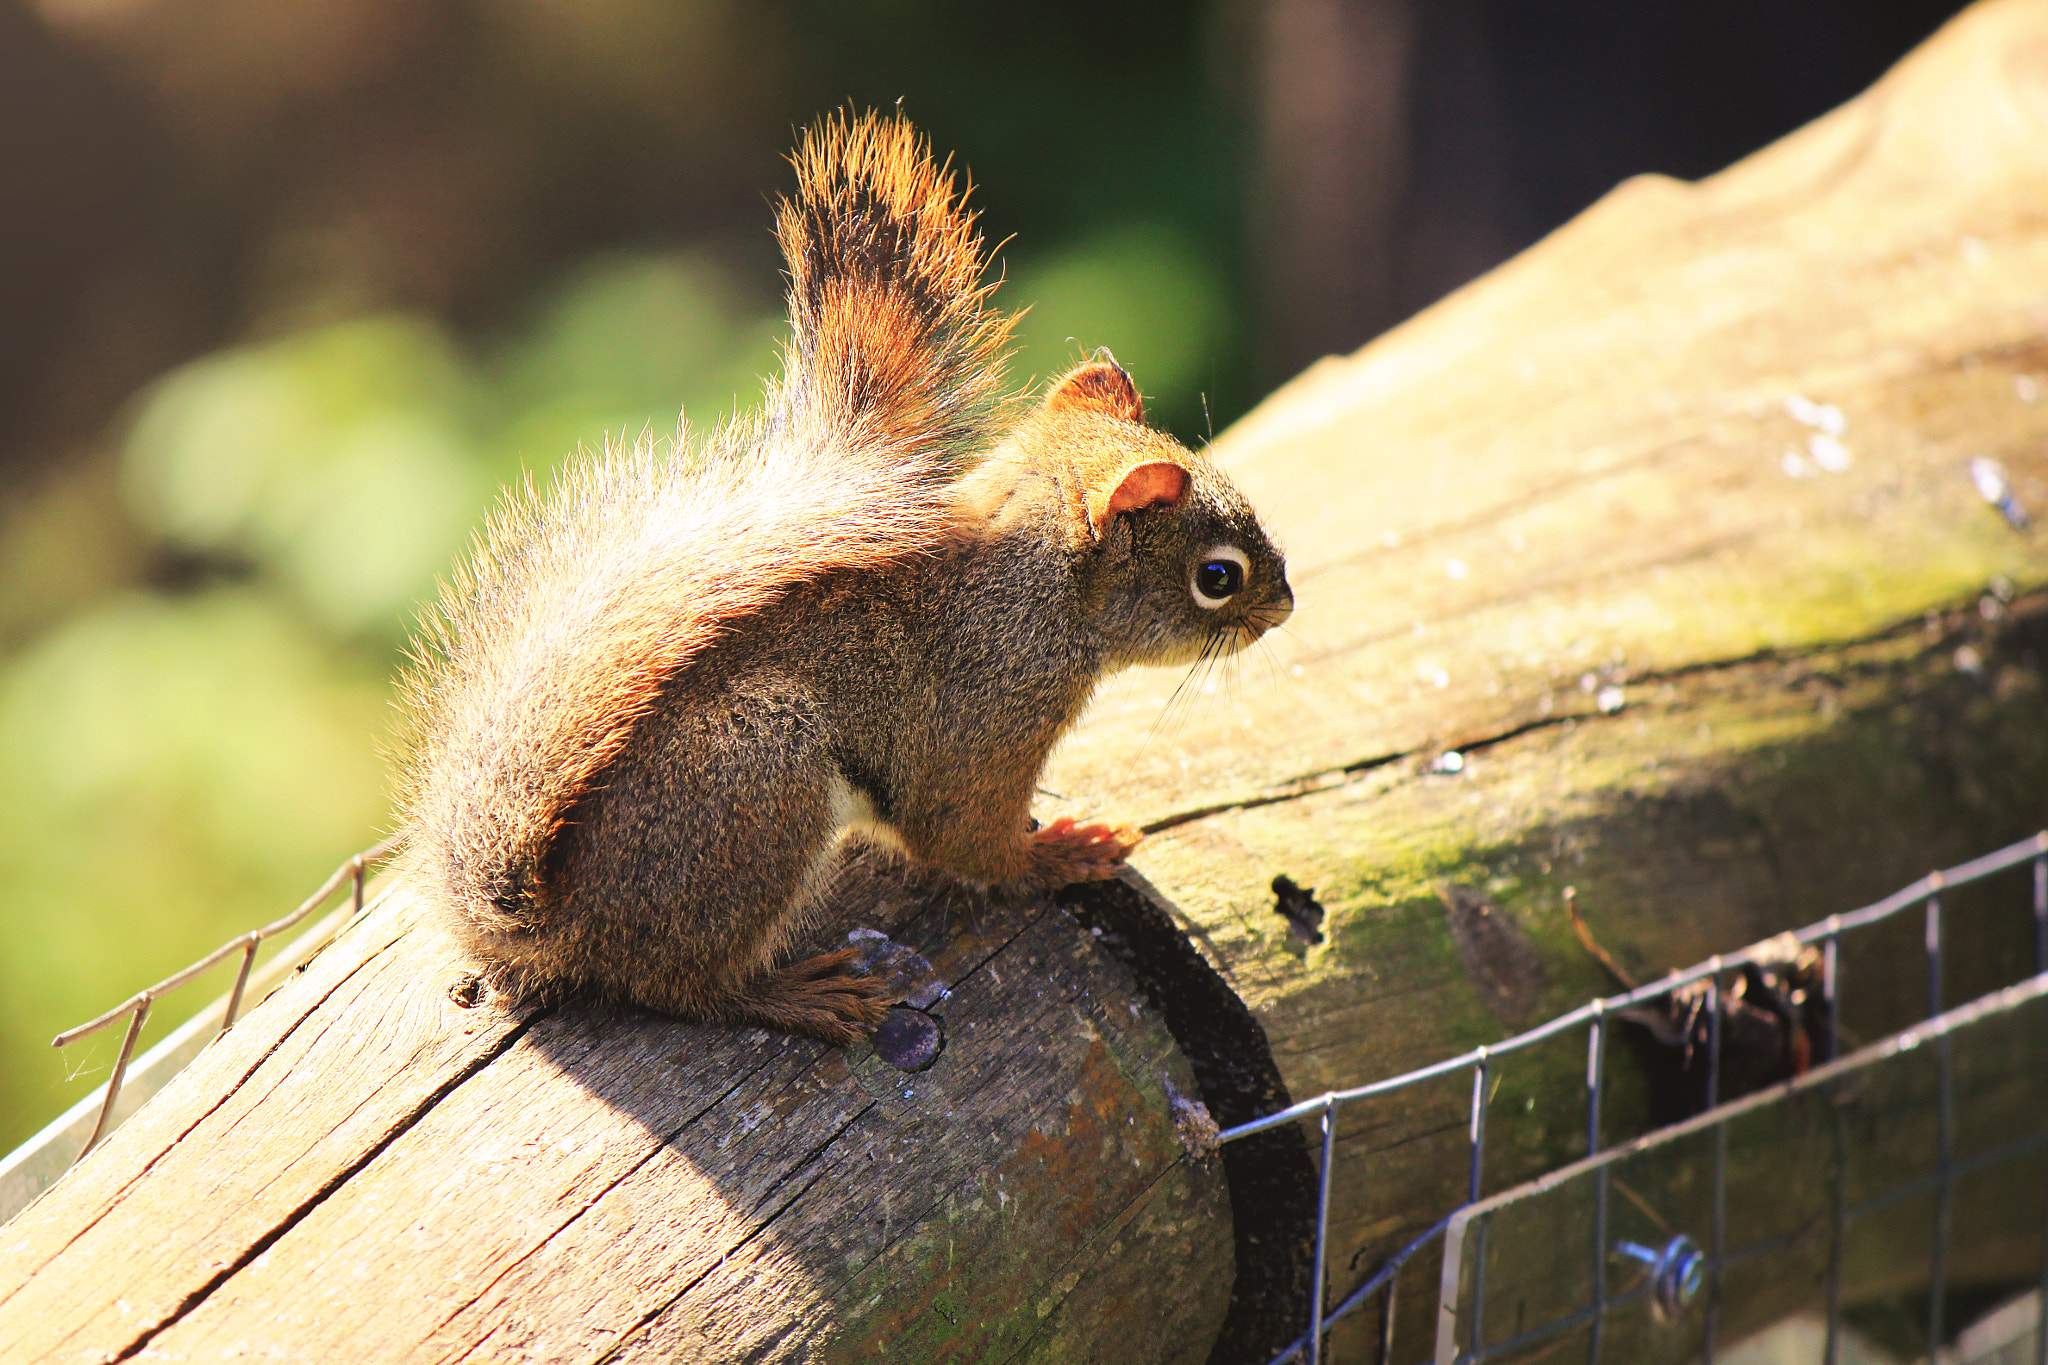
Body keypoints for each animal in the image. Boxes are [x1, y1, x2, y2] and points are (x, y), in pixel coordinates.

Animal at [395, 112, 1293, 1046]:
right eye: (1218, 576)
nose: (1284, 605)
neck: (1042, 593)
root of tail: (555, 920)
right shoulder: (984, 721)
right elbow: (962, 838)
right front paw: (1063, 852)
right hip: (757, 776)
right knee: (677, 984)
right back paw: (797, 994)